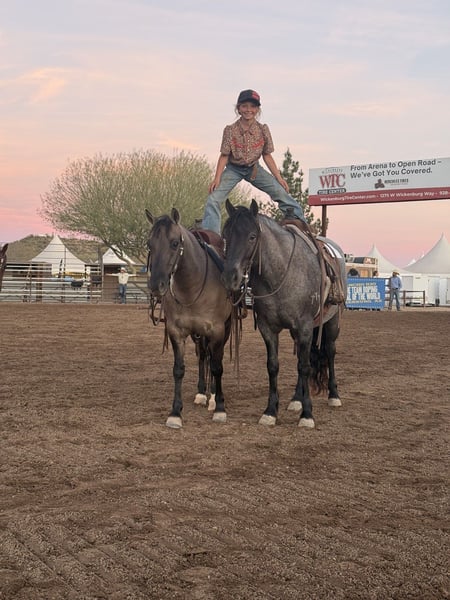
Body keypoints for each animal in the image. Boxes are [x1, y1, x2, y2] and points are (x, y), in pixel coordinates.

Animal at [145, 208, 232, 429]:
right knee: (203, 356)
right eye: (149, 244)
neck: (192, 287)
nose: (156, 285)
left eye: (175, 243)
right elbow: (179, 369)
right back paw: (202, 393)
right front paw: (175, 413)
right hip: (198, 335)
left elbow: (217, 367)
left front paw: (219, 408)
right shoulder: (177, 332)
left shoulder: (217, 331)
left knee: (214, 359)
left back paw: (213, 396)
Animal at [221, 199, 346, 429]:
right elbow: (274, 366)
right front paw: (271, 411)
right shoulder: (268, 328)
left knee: (330, 352)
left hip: (332, 322)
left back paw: (334, 395)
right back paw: (296, 399)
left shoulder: (305, 327)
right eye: (226, 235)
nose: (230, 278)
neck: (280, 275)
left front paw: (307, 414)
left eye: (252, 236)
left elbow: (305, 367)